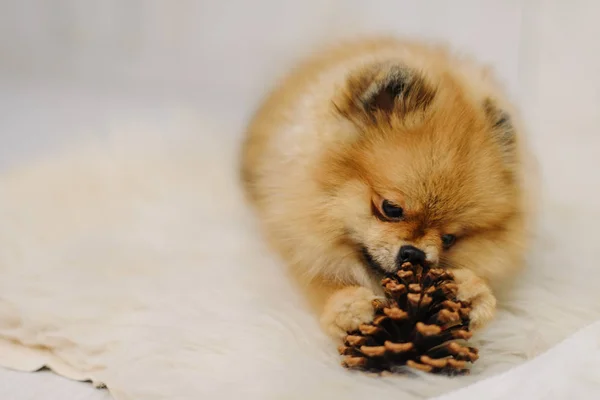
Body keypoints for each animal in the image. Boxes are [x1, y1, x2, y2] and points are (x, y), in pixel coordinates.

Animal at [239, 37, 528, 340]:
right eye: (391, 208)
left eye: (449, 238)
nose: (414, 254)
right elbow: (318, 273)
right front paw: (347, 305)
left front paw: (471, 293)